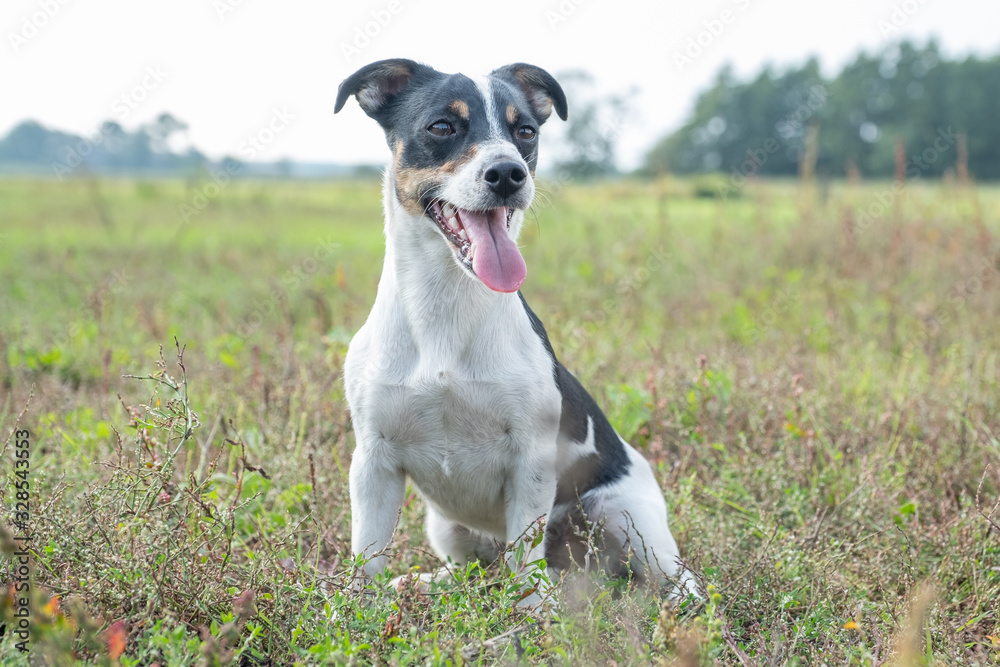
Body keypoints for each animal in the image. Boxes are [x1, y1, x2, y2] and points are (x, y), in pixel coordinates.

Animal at [332, 58, 692, 604]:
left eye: (524, 131)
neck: (447, 305)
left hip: (625, 518)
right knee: (475, 570)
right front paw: (357, 611)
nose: (507, 173)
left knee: (671, 576)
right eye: (442, 126)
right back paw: (428, 582)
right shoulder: (373, 461)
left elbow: (527, 563)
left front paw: (531, 614)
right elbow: (366, 558)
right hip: (447, 527)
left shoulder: (531, 460)